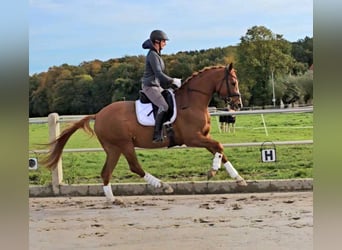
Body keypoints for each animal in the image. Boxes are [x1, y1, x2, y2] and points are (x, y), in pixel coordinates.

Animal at [42, 62, 246, 203]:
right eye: (233, 82)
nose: (238, 105)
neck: (192, 101)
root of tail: (98, 114)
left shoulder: (204, 136)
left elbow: (219, 150)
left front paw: (238, 179)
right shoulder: (193, 138)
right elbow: (219, 146)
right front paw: (213, 170)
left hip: (114, 149)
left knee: (106, 172)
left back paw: (112, 199)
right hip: (124, 144)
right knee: (134, 167)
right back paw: (163, 186)